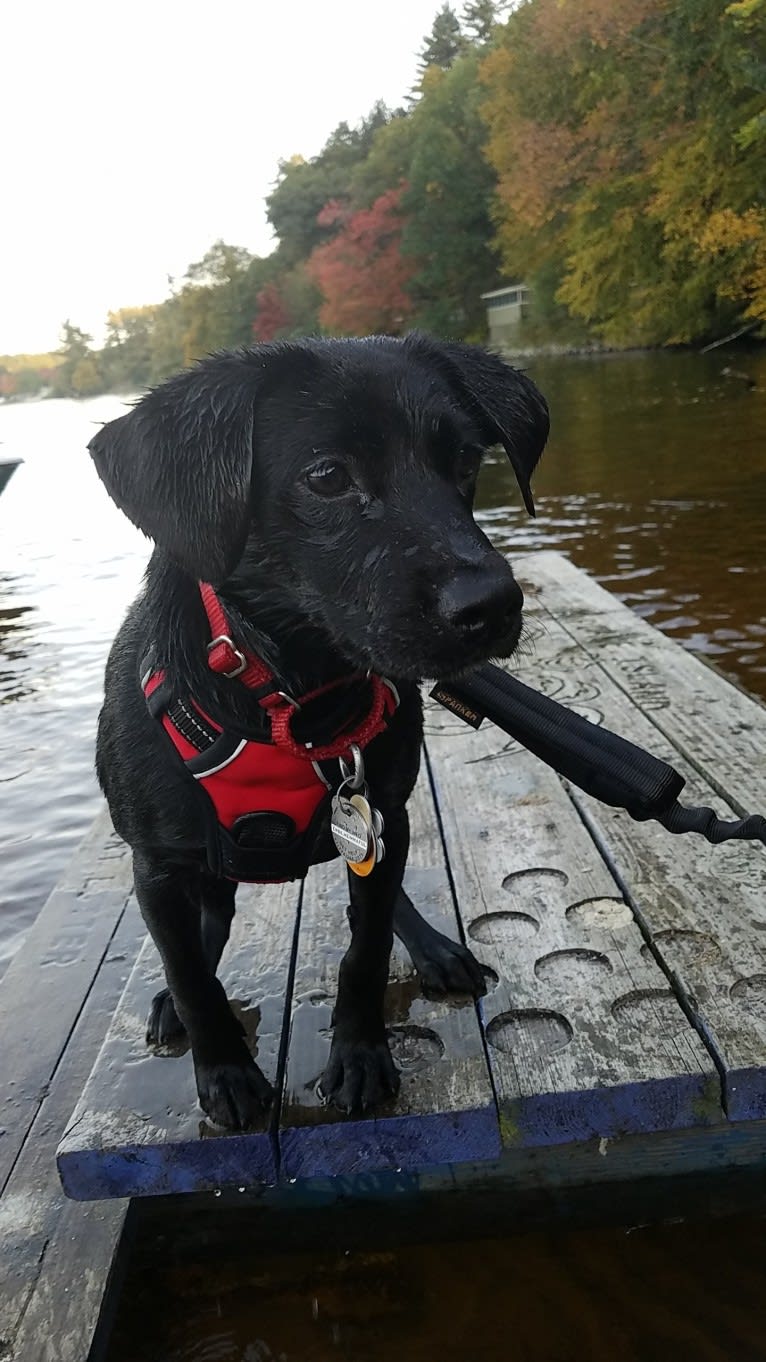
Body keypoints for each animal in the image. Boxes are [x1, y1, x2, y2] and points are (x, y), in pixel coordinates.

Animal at [89, 335, 545, 1133]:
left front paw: (361, 1055)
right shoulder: (157, 865)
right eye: (327, 476)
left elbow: (365, 950)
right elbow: (191, 976)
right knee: (206, 932)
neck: (293, 703)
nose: (493, 606)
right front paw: (224, 1072)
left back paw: (431, 947)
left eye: (464, 458)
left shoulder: (381, 814)